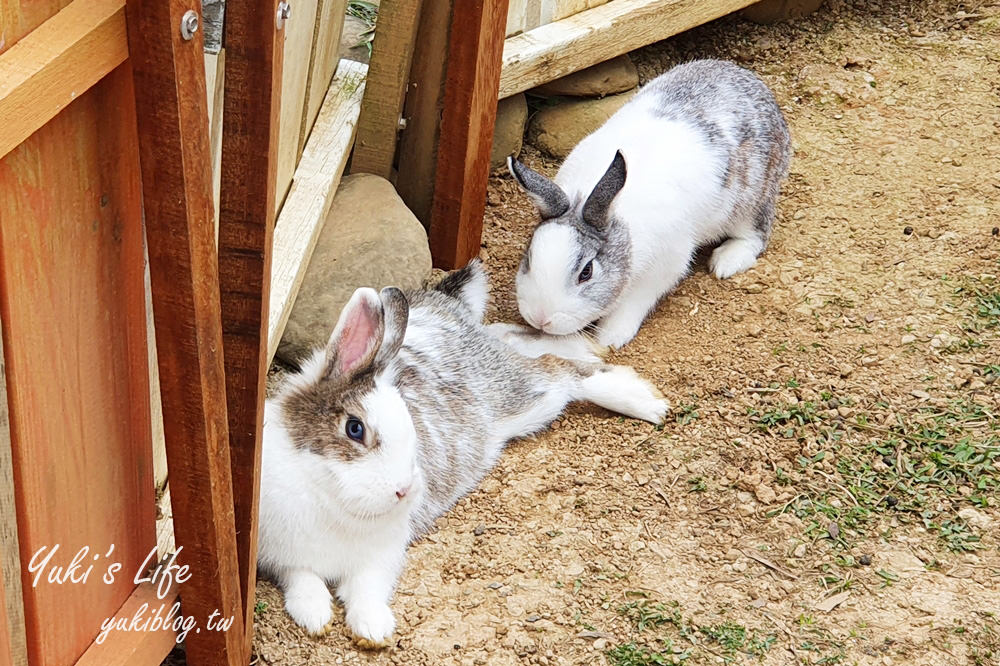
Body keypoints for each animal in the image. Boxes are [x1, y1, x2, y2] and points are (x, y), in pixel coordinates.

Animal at [256, 258, 672, 644]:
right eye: (354, 429)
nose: (404, 490)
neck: (329, 496)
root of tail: (447, 309)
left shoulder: (382, 556)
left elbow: (367, 590)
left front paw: (374, 628)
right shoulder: (284, 557)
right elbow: (303, 580)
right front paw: (314, 616)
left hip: (527, 397)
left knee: (563, 370)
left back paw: (646, 403)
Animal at [512, 59, 792, 348]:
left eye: (586, 272)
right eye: (529, 258)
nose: (541, 318)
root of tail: (757, 87)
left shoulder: (663, 268)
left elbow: (633, 303)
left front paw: (609, 337)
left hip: (751, 202)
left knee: (756, 235)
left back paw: (725, 263)